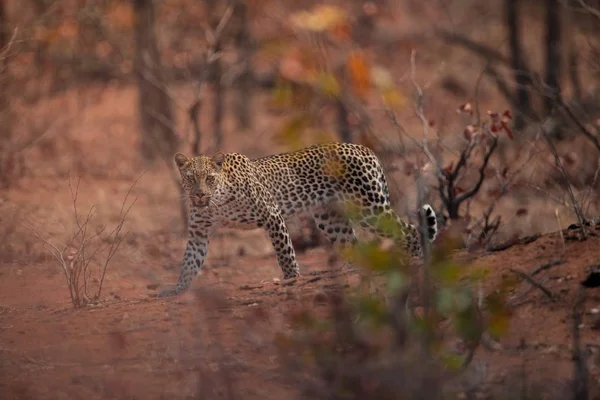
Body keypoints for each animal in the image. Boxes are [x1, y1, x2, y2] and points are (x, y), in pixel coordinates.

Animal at [157, 141, 438, 296]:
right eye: (190, 178)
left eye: (209, 178)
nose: (199, 195)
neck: (217, 203)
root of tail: (365, 149)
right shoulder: (199, 233)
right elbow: (189, 262)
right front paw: (177, 289)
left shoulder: (271, 215)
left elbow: (285, 254)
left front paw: (291, 279)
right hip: (331, 219)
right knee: (353, 244)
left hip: (369, 208)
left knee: (409, 231)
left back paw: (418, 261)